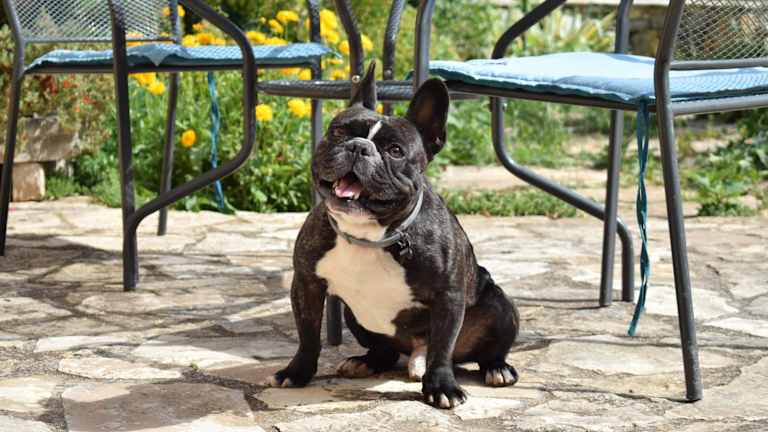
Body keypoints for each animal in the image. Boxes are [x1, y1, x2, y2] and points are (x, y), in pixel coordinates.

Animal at [265, 62, 520, 409]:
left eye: (395, 151)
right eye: (339, 132)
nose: (359, 147)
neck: (368, 235)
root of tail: (415, 352)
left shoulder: (448, 297)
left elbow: (442, 348)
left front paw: (441, 386)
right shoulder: (307, 284)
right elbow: (307, 335)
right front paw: (297, 372)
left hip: (499, 306)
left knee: (471, 350)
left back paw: (497, 368)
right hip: (354, 314)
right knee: (384, 351)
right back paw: (365, 361)